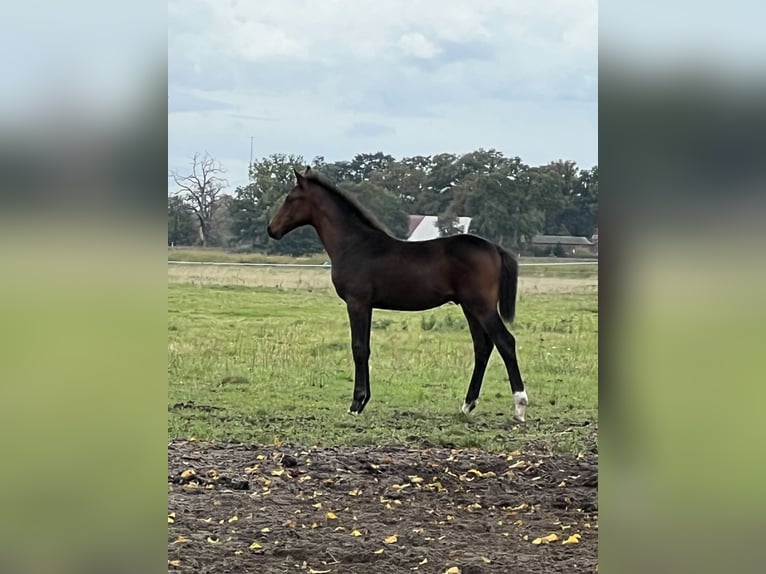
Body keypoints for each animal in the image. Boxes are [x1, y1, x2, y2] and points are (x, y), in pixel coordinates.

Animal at [268, 166, 532, 424]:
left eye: (291, 198)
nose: (272, 229)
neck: (354, 245)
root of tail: (495, 248)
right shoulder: (367, 305)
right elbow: (365, 348)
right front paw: (363, 401)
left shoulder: (357, 303)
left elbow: (359, 348)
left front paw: (356, 404)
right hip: (470, 307)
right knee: (482, 347)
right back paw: (467, 405)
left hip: (482, 307)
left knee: (506, 342)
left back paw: (519, 407)